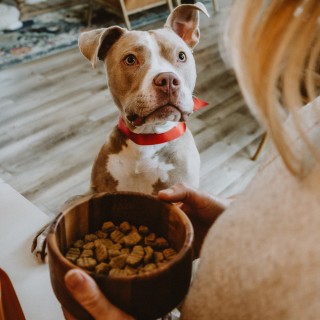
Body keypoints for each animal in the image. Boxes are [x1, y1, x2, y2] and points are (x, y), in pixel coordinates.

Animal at [32, 1, 209, 260]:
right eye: (130, 59)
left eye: (181, 56)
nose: (167, 80)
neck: (147, 139)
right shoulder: (96, 190)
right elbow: (68, 208)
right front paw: (48, 233)